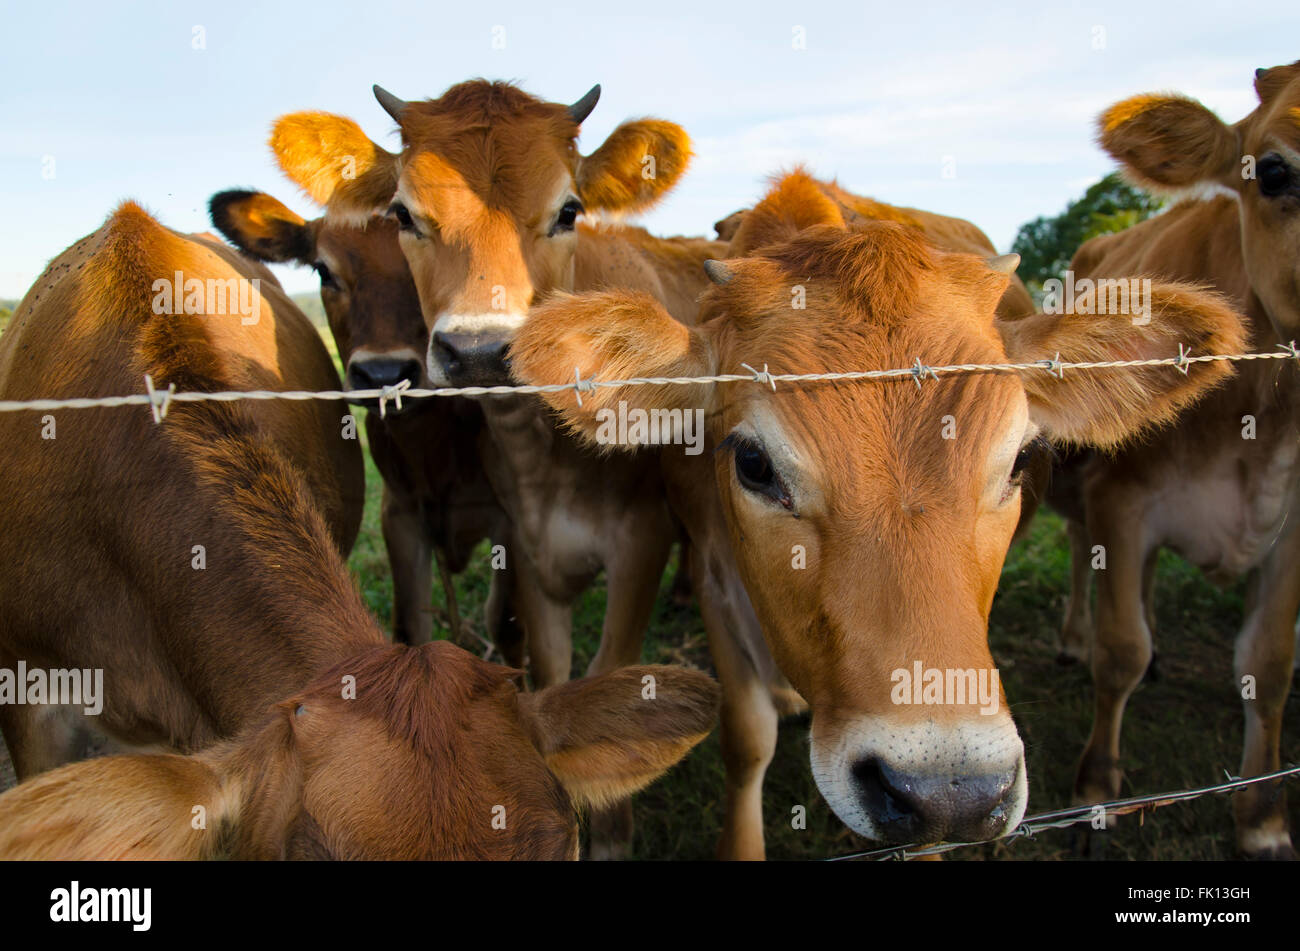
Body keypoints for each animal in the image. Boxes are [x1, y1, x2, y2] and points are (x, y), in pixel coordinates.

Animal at [208, 189, 517, 657]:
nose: (383, 373)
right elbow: (409, 626)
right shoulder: (400, 516)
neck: (434, 445)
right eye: (323, 269)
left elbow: (505, 625)